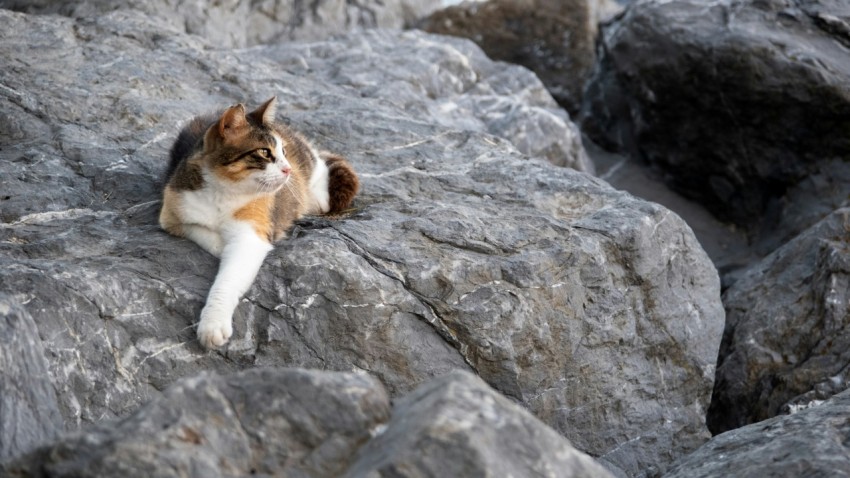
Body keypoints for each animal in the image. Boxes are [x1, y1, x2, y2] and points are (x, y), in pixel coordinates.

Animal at [159, 97, 358, 350]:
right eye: (264, 152)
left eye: (283, 152)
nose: (288, 169)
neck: (223, 191)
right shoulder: (171, 213)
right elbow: (199, 229)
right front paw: (220, 244)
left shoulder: (250, 235)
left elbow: (228, 279)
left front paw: (212, 325)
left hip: (310, 167)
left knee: (321, 166)